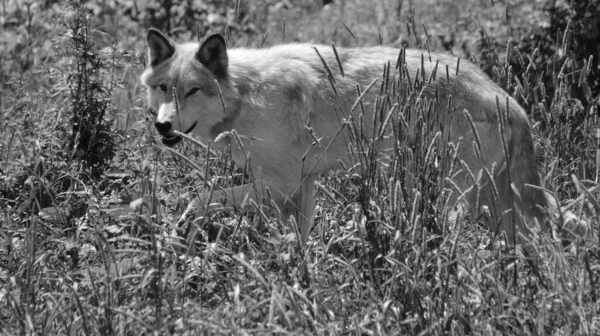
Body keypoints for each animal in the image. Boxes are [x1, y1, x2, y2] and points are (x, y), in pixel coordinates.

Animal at [142, 28, 580, 244]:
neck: (245, 94)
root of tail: (511, 101)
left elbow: (201, 198)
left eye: (192, 91)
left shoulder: (280, 185)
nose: (162, 126)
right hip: (498, 205)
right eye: (164, 88)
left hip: (458, 198)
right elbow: (298, 242)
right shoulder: (302, 188)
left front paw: (182, 226)